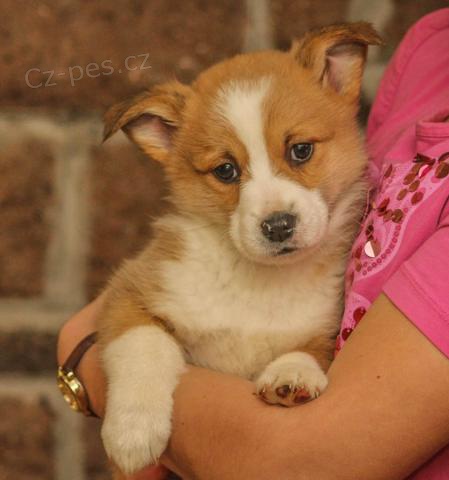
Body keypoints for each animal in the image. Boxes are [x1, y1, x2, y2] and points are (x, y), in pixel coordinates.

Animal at [100, 21, 380, 476]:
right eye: (226, 170)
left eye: (300, 150)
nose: (278, 226)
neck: (258, 281)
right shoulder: (129, 293)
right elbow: (144, 345)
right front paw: (133, 432)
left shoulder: (326, 324)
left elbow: (310, 349)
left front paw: (292, 376)